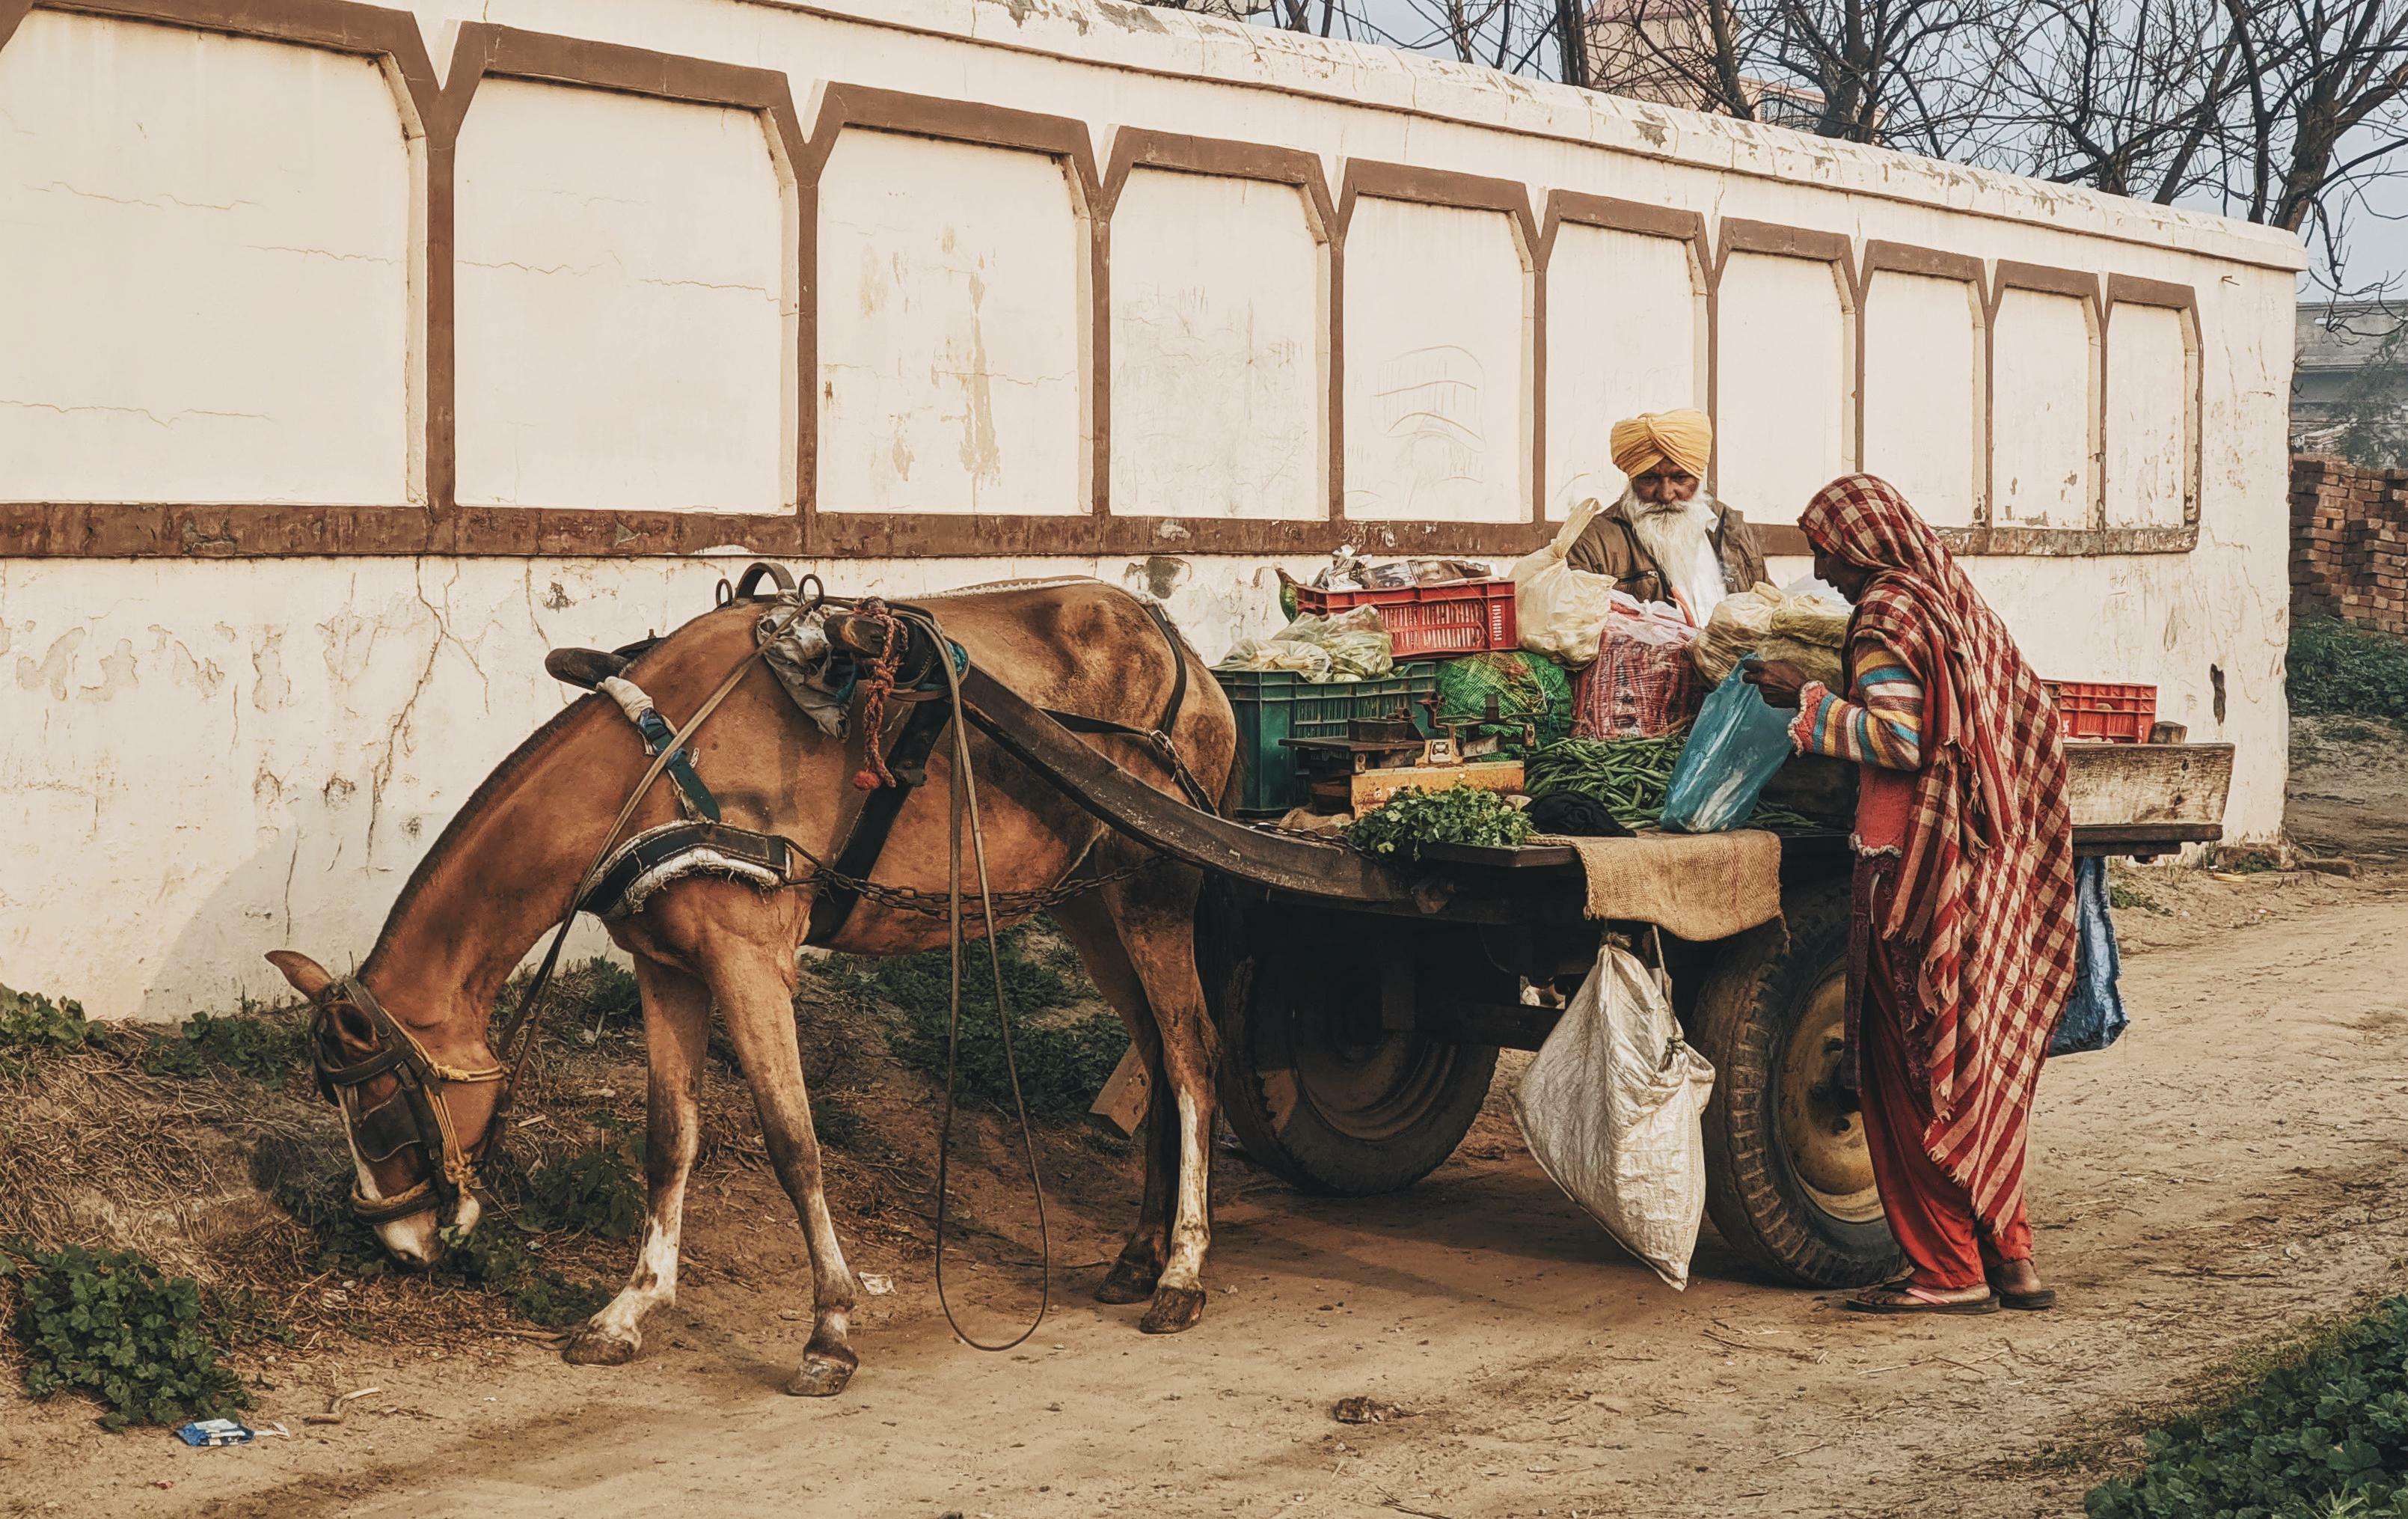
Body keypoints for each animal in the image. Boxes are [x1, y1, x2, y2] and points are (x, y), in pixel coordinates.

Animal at [263, 575, 1243, 1396]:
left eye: (378, 1111)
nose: (399, 1243)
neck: (653, 767)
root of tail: (1177, 647)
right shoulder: (666, 968)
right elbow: (669, 1138)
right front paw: (630, 1307)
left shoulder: (750, 959)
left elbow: (792, 1141)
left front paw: (830, 1328)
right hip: (1089, 899)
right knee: (1155, 1051)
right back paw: (1139, 1253)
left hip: (1157, 887)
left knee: (1192, 1056)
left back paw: (1184, 1270)